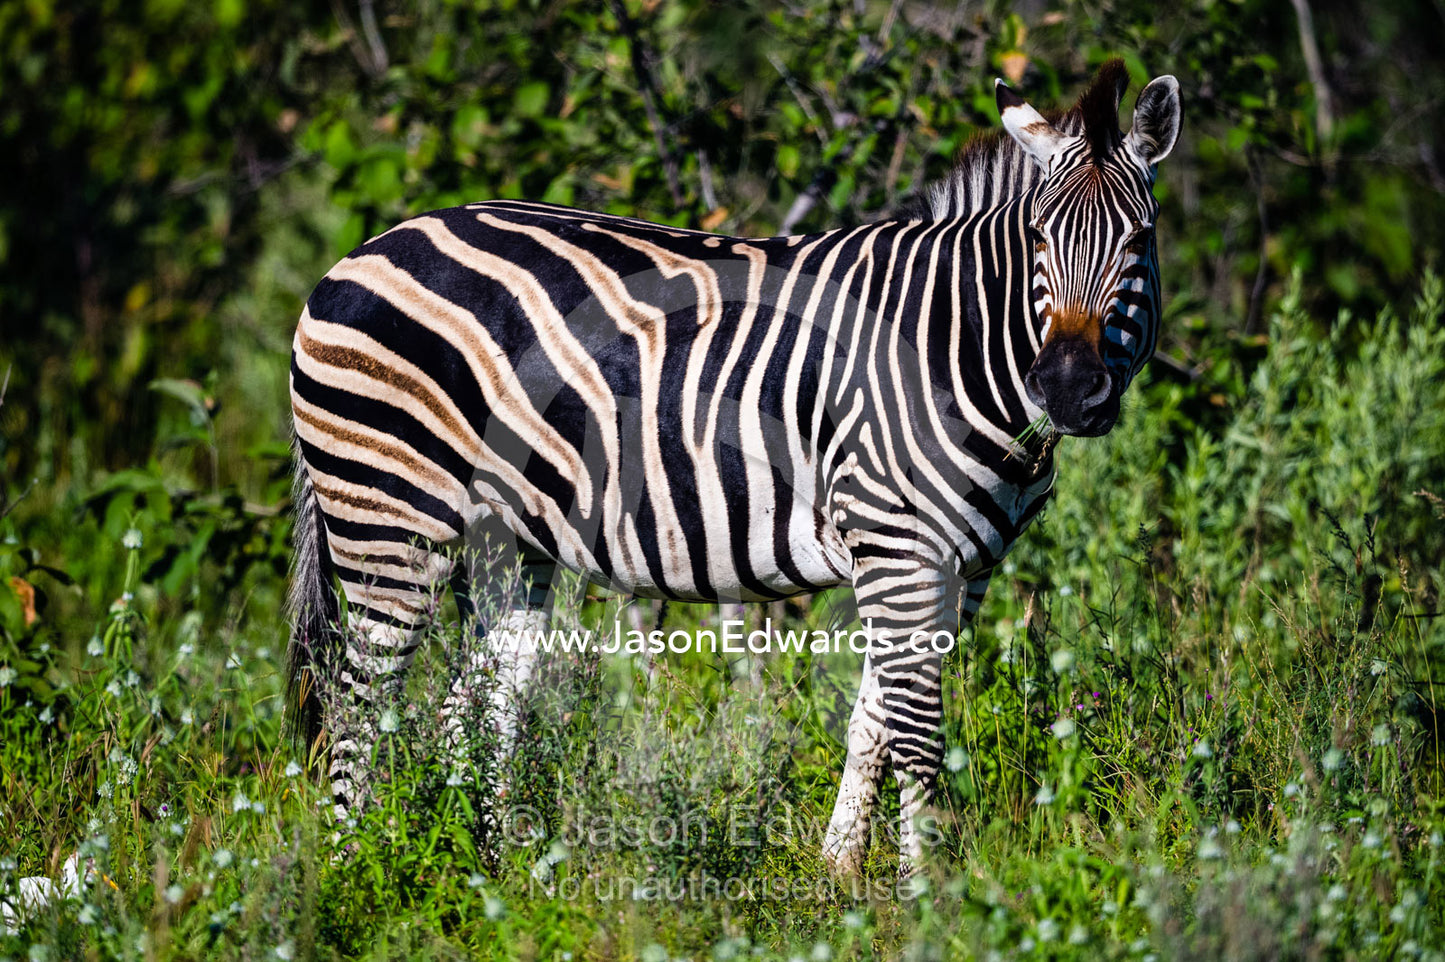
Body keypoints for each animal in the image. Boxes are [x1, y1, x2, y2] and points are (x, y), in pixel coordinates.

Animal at [287, 59, 1181, 875]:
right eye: (1037, 239)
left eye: (1139, 241)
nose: (1067, 389)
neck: (951, 346)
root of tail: (364, 250)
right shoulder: (897, 545)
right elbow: (917, 734)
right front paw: (933, 895)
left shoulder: (966, 564)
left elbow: (874, 724)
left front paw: (839, 877)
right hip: (389, 515)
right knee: (358, 701)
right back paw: (353, 881)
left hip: (503, 537)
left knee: (475, 705)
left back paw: (494, 882)